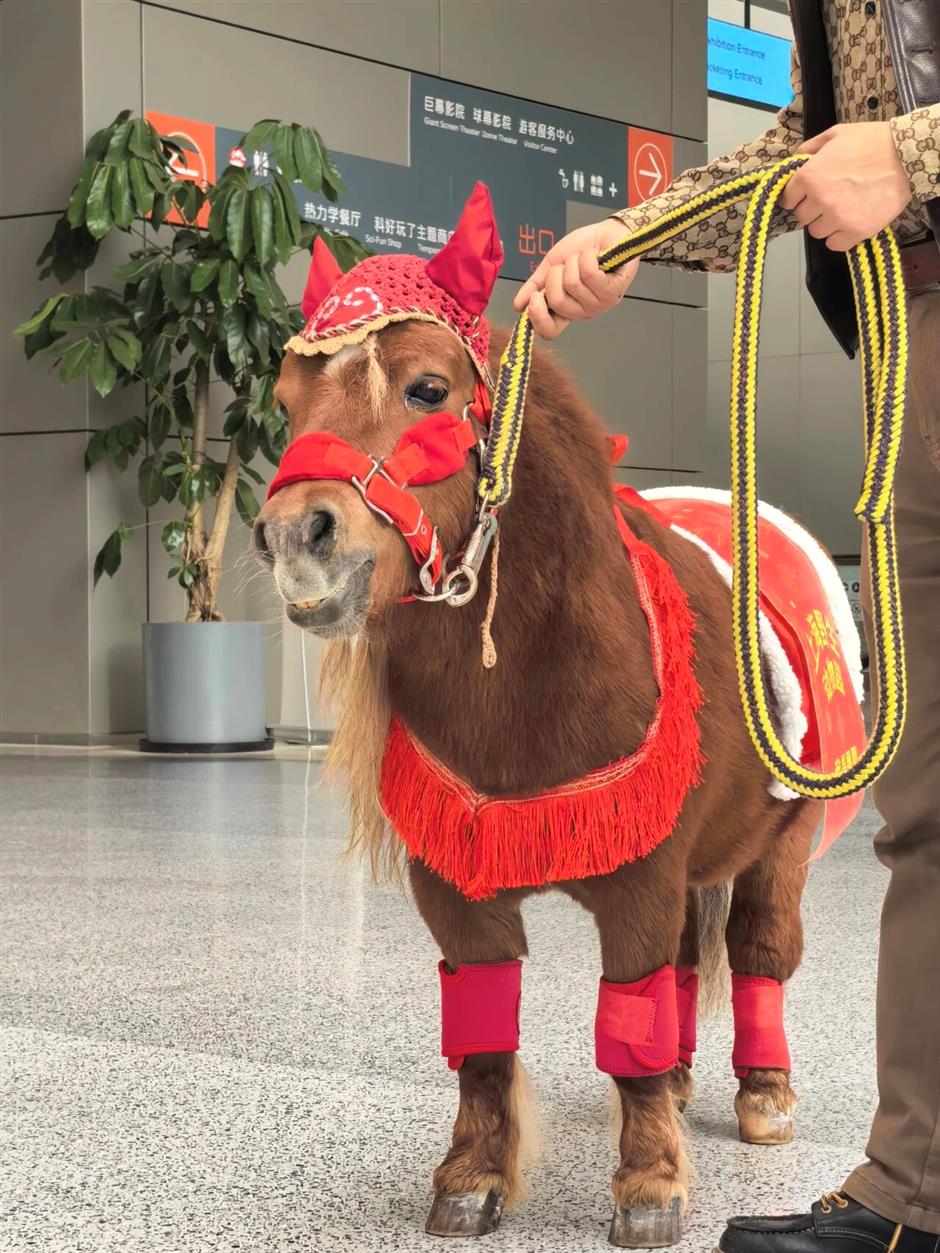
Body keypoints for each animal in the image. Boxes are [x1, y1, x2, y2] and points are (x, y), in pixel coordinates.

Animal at [253, 297, 837, 1244]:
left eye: (428, 388)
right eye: (285, 401)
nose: (297, 537)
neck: (536, 673)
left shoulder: (640, 877)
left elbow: (630, 1028)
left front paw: (650, 1185)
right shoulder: (458, 885)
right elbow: (486, 1037)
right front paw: (473, 1177)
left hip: (786, 837)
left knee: (761, 951)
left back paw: (765, 1096)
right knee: (688, 962)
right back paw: (687, 1080)